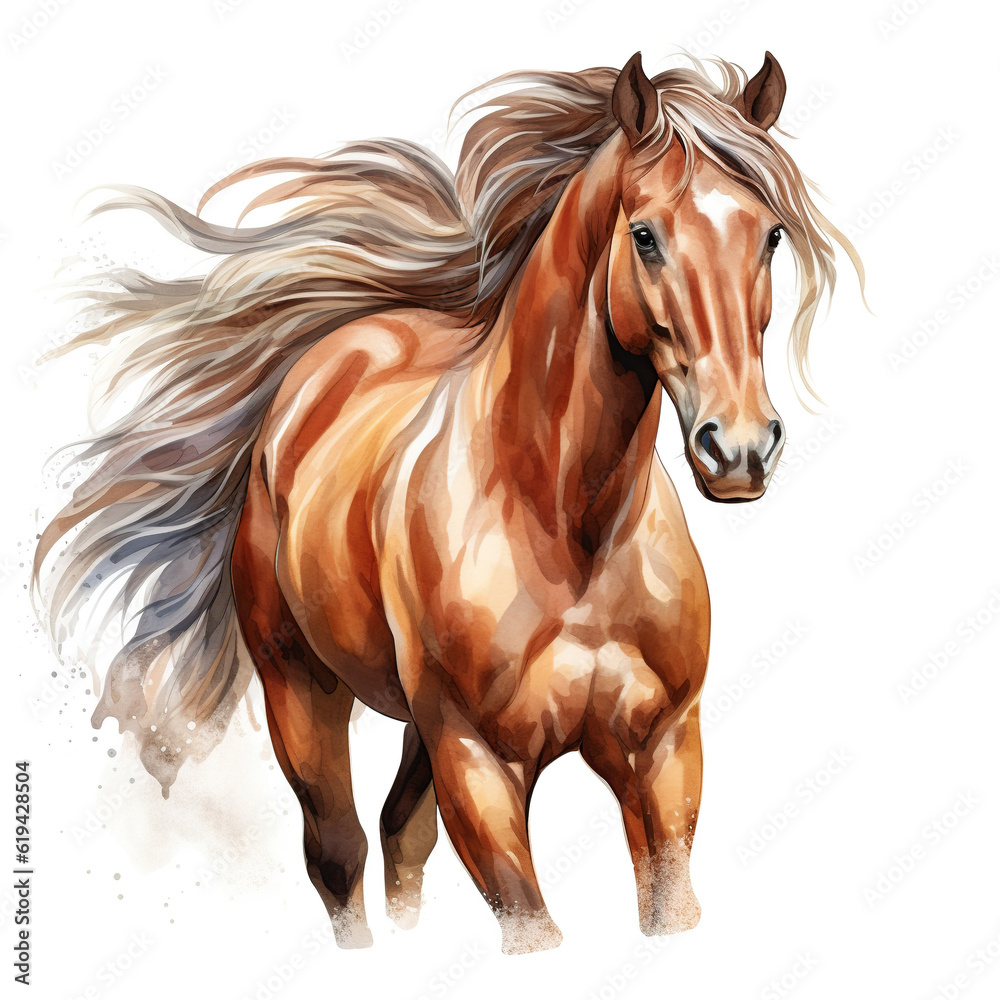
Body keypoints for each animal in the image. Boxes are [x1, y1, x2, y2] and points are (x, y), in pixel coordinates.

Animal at [34, 50, 861, 954]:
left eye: (771, 234)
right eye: (645, 236)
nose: (739, 449)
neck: (567, 525)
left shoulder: (664, 755)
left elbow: (668, 908)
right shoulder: (479, 763)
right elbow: (527, 926)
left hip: (418, 733)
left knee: (401, 834)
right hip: (304, 691)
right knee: (340, 853)